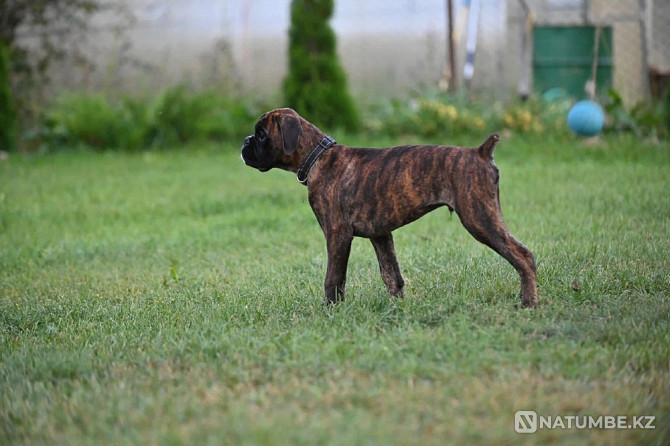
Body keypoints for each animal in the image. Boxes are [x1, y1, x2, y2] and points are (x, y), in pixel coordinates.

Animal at [243, 106, 540, 308]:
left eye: (261, 134)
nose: (245, 142)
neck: (318, 157)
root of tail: (480, 152)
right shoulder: (381, 235)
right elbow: (391, 274)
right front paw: (397, 307)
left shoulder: (338, 235)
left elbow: (333, 278)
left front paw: (330, 309)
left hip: (479, 218)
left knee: (523, 256)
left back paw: (528, 303)